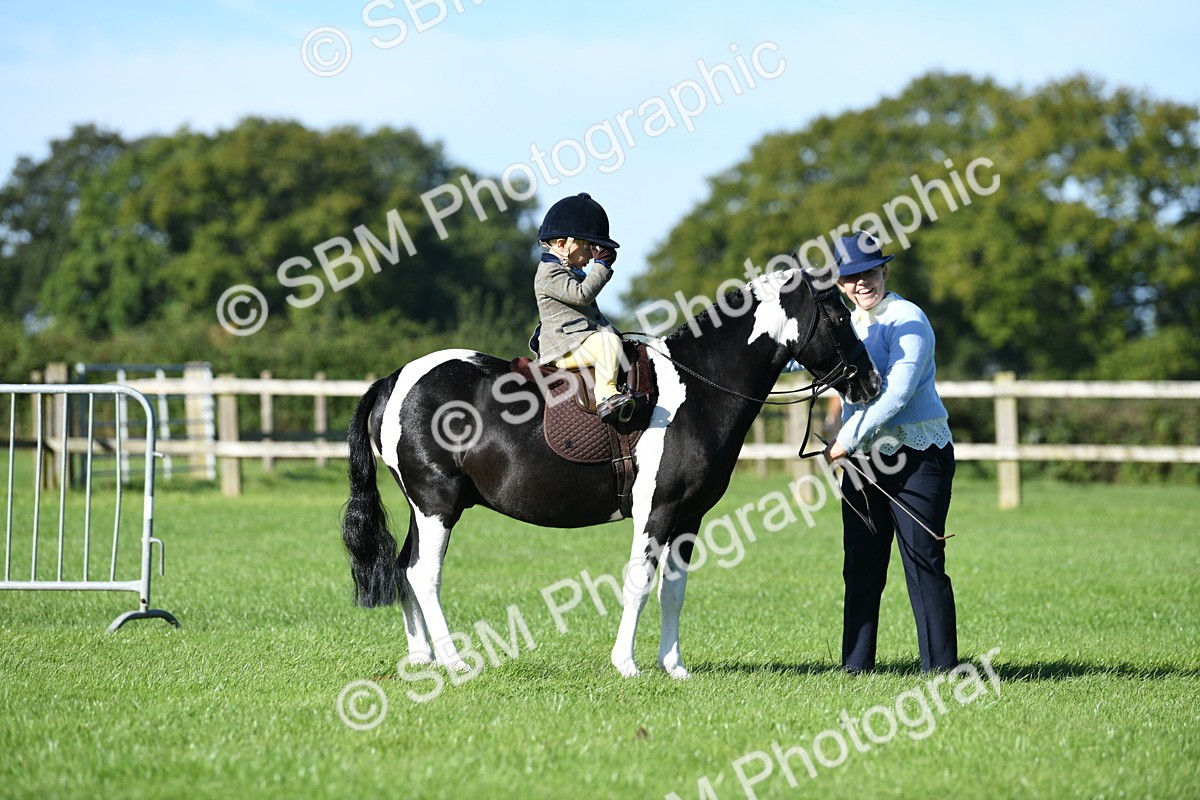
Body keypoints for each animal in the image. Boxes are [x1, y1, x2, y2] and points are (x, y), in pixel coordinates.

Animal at [341, 265, 881, 679]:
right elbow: (639, 582)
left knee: (403, 570)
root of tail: (395, 378)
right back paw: (453, 661)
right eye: (839, 315)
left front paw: (674, 666)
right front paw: (627, 664)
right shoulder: (656, 512)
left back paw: (421, 658)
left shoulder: (688, 518)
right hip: (437, 506)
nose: (872, 382)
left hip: (423, 508)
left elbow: (672, 591)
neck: (698, 388)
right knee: (423, 574)